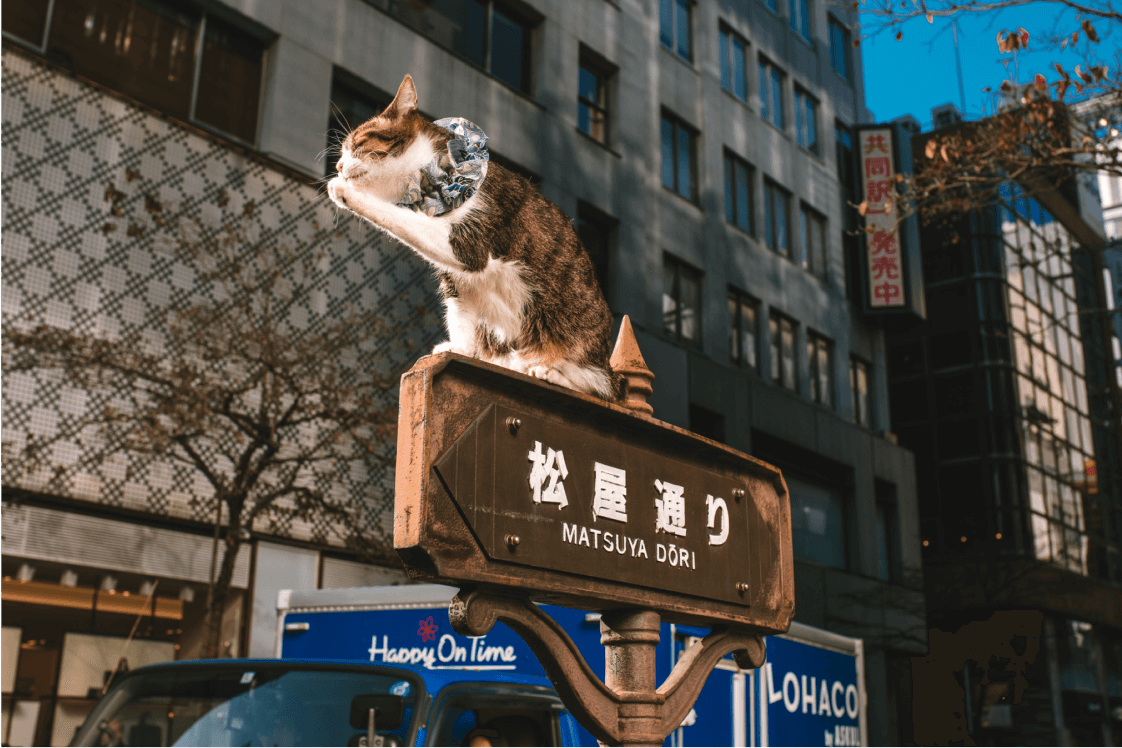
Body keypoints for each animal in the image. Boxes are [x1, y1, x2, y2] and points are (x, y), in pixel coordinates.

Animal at [327, 75, 619, 401]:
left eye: (357, 144)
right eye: (341, 152)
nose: (338, 166)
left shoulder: (467, 243)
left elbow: (401, 218)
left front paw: (342, 190)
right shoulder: (455, 278)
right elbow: (460, 312)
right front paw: (459, 349)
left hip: (569, 332)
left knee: (599, 386)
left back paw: (550, 371)